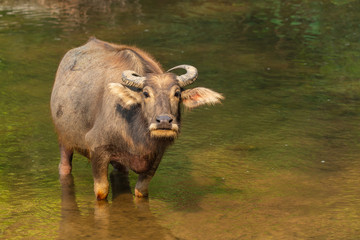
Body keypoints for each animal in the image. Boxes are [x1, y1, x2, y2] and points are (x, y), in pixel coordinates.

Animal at [50, 37, 222, 200]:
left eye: (177, 93)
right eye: (146, 93)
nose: (164, 121)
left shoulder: (156, 156)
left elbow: (141, 190)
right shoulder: (97, 149)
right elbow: (101, 191)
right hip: (64, 138)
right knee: (64, 166)